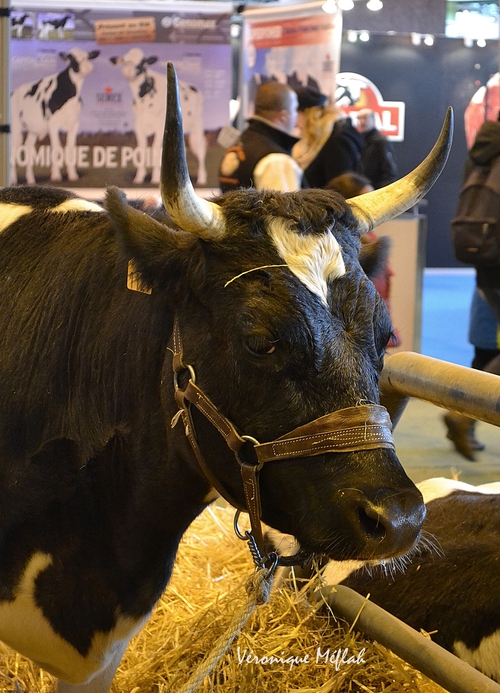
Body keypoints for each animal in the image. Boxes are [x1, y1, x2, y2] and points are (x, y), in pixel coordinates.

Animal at [10, 47, 99, 185]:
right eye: (71, 58)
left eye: (88, 56)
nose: (88, 67)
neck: (71, 95)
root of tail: (13, 92)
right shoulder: (53, 124)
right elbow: (56, 148)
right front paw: (56, 176)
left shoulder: (74, 123)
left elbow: (70, 148)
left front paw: (72, 175)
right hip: (16, 125)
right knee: (14, 149)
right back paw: (13, 180)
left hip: (33, 129)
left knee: (28, 148)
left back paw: (31, 180)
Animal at [111, 47, 207, 185]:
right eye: (124, 60)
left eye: (142, 62)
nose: (127, 71)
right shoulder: (138, 124)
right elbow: (142, 149)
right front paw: (139, 177)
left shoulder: (159, 125)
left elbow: (156, 150)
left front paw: (155, 178)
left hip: (197, 124)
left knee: (200, 148)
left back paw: (202, 178)